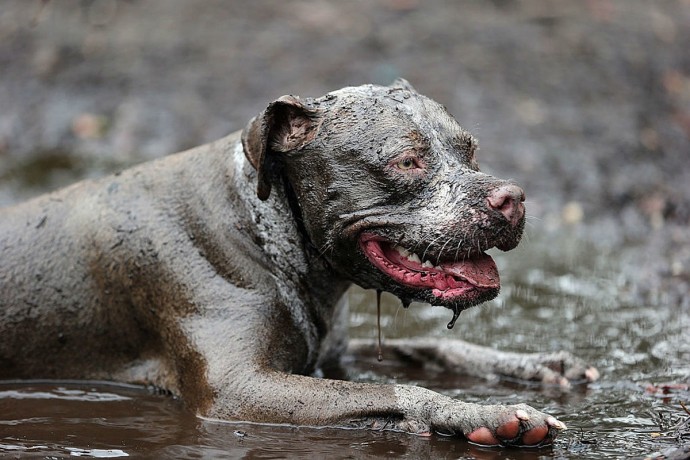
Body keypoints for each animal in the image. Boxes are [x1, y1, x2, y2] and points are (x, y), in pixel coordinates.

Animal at [0, 81, 592, 448]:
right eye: (407, 161)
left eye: (470, 151)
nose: (512, 198)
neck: (263, 228)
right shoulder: (238, 391)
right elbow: (392, 391)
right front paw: (483, 413)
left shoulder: (331, 354)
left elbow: (431, 347)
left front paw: (532, 364)